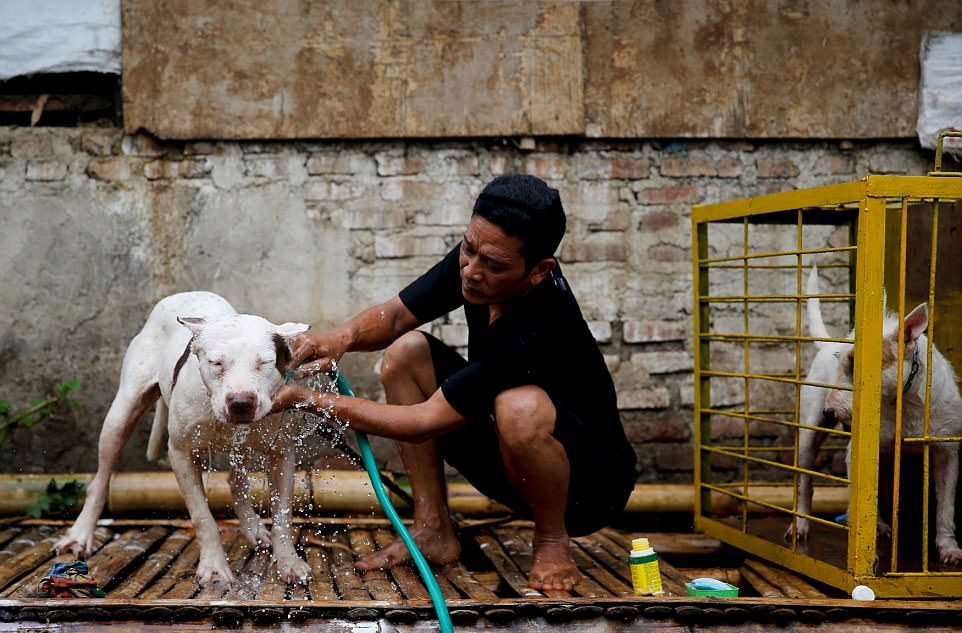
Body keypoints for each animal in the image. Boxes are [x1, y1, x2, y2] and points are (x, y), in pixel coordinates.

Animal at [53, 292, 316, 584]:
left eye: (264, 363)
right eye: (216, 363)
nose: (240, 403)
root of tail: (183, 294)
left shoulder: (281, 453)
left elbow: (283, 515)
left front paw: (289, 562)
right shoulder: (180, 454)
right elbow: (202, 517)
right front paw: (213, 567)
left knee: (236, 480)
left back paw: (252, 528)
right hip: (120, 415)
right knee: (100, 479)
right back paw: (80, 535)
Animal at [780, 264, 960, 564]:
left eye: (856, 366)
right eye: (840, 363)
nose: (830, 409)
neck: (904, 401)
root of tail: (826, 345)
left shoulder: (946, 449)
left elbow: (945, 505)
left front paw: (949, 548)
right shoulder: (858, 451)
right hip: (809, 431)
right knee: (805, 480)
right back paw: (802, 524)